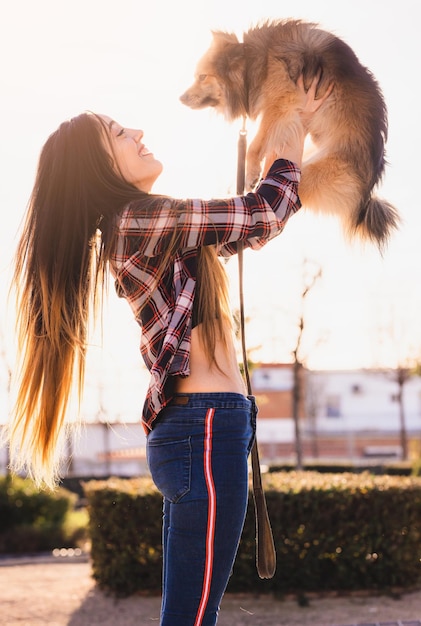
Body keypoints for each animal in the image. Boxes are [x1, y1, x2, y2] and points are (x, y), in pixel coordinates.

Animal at [180, 18, 398, 246]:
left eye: (202, 77)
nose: (181, 98)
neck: (258, 62)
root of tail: (368, 192)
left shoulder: (280, 104)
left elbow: (254, 145)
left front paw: (251, 172)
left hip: (313, 174)